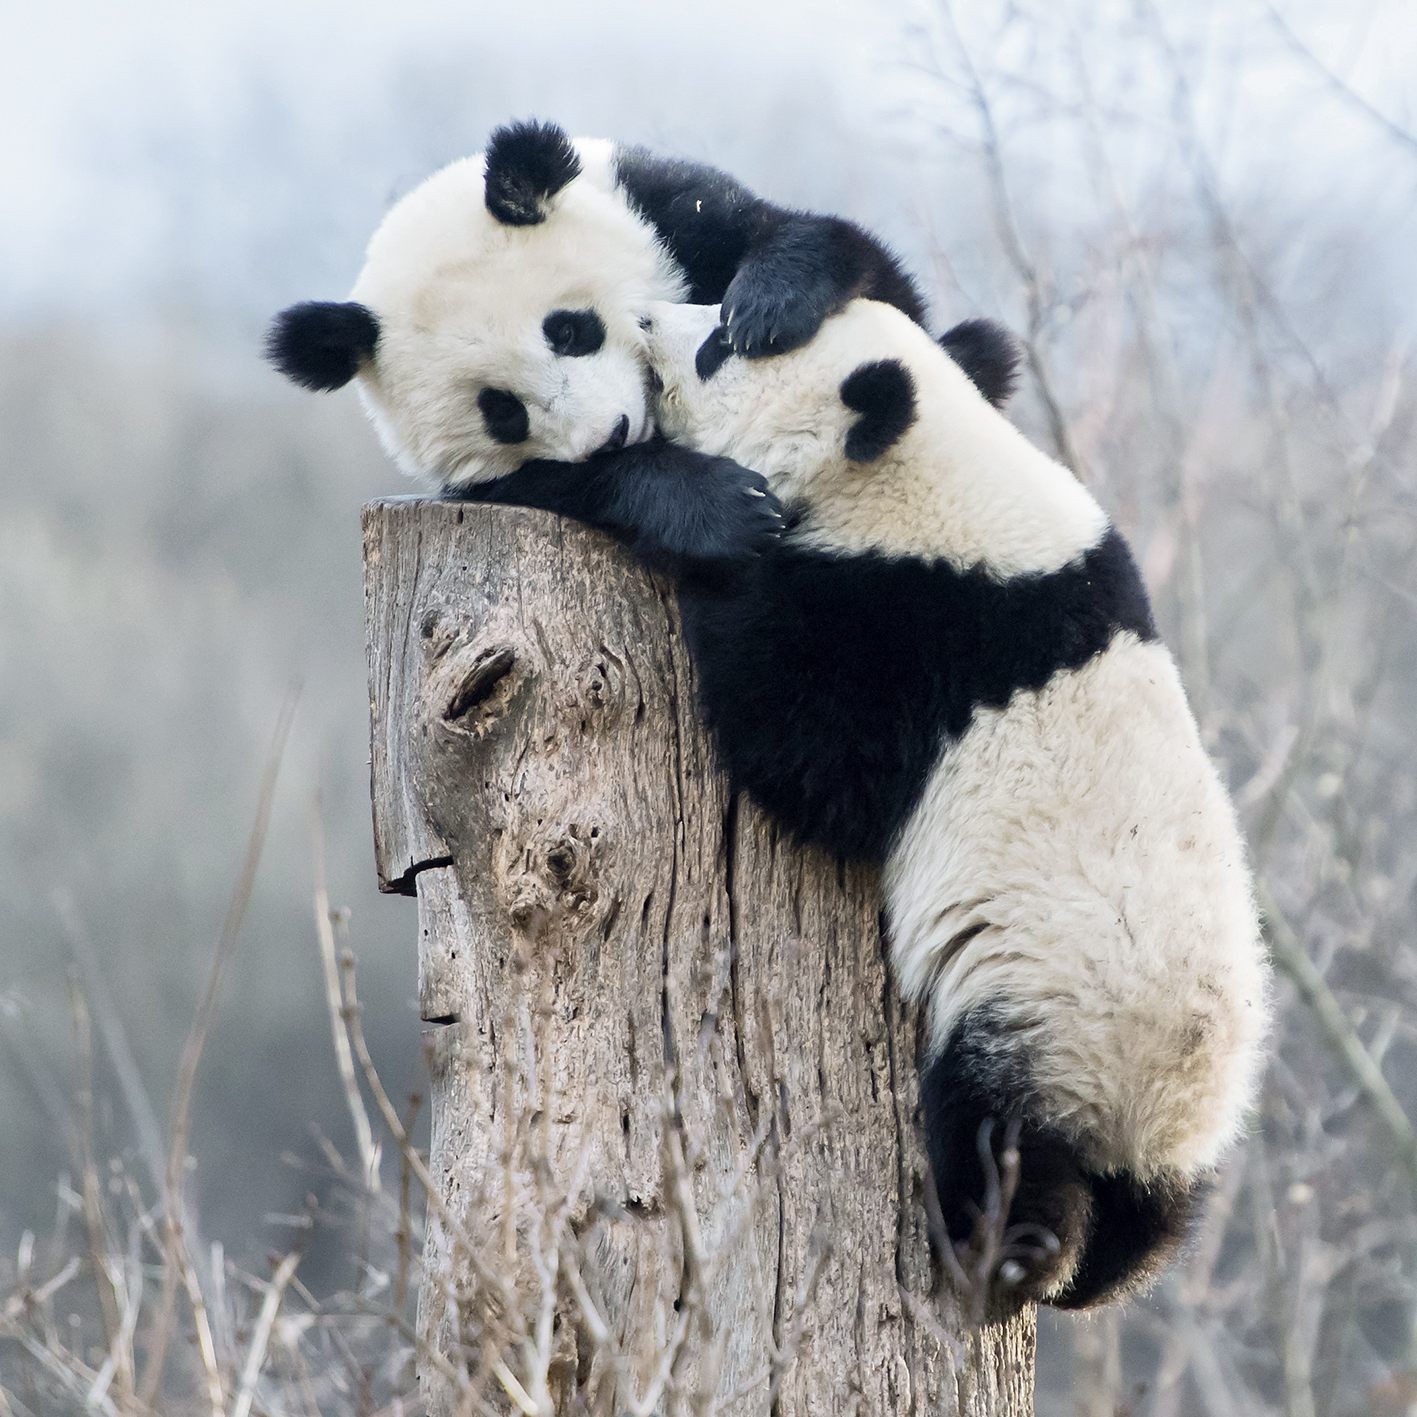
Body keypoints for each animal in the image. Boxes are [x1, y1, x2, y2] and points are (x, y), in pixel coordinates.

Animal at [265, 117, 1012, 566]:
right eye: (501, 412)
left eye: (568, 330)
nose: (613, 432)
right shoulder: (489, 483)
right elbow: (560, 483)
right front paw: (727, 508)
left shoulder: (671, 212)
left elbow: (843, 262)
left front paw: (768, 307)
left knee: (984, 349)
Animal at [629, 298, 1271, 1310]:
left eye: (717, 344)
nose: (646, 315)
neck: (941, 469)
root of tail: (1148, 1114)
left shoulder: (916, 629)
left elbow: (814, 762)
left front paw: (720, 546)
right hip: (1183, 1120)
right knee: (1153, 1222)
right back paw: (1101, 1270)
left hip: (1039, 1026)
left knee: (993, 1143)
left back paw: (1003, 1254)